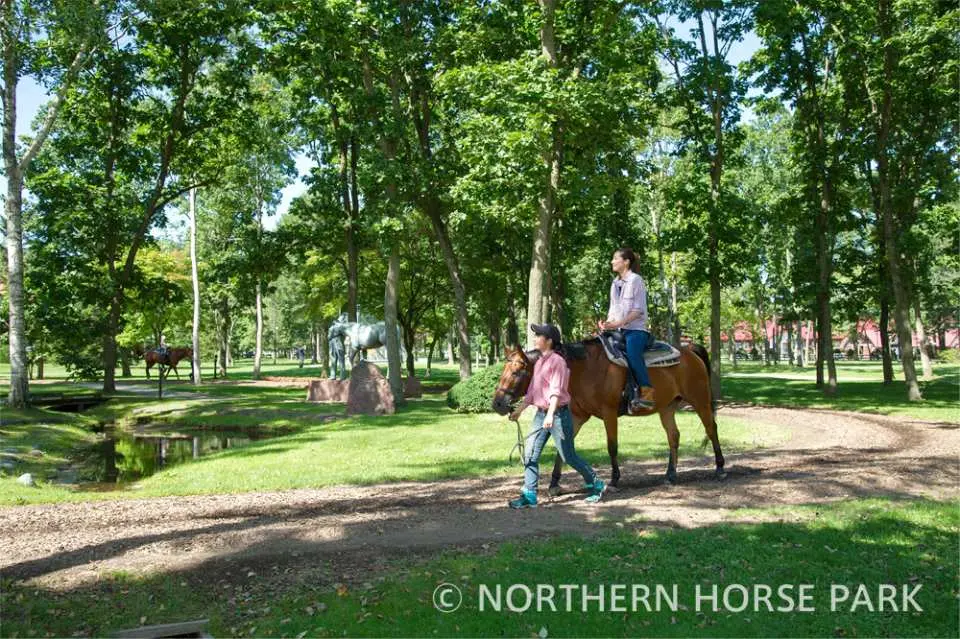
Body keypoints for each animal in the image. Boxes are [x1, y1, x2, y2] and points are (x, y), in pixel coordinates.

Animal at [491, 338, 724, 491]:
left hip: (700, 401)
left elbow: (612, 446)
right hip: (667, 408)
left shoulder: (609, 413)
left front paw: (614, 479)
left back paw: (720, 468)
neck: (584, 370)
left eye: (516, 372)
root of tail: (690, 350)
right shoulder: (577, 417)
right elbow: (563, 448)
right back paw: (670, 475)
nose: (497, 404)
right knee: (673, 436)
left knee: (711, 428)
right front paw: (554, 483)